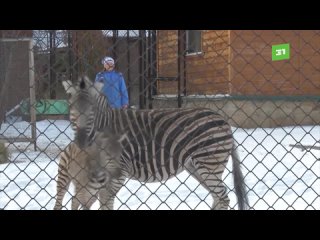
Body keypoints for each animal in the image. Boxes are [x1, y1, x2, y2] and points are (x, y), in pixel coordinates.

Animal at [61, 76, 249, 209]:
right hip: (196, 166)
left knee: (223, 197)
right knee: (218, 197)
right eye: (72, 108)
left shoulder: (119, 172)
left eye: (92, 111)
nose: (81, 141)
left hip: (209, 163)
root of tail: (223, 119)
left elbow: (105, 202)